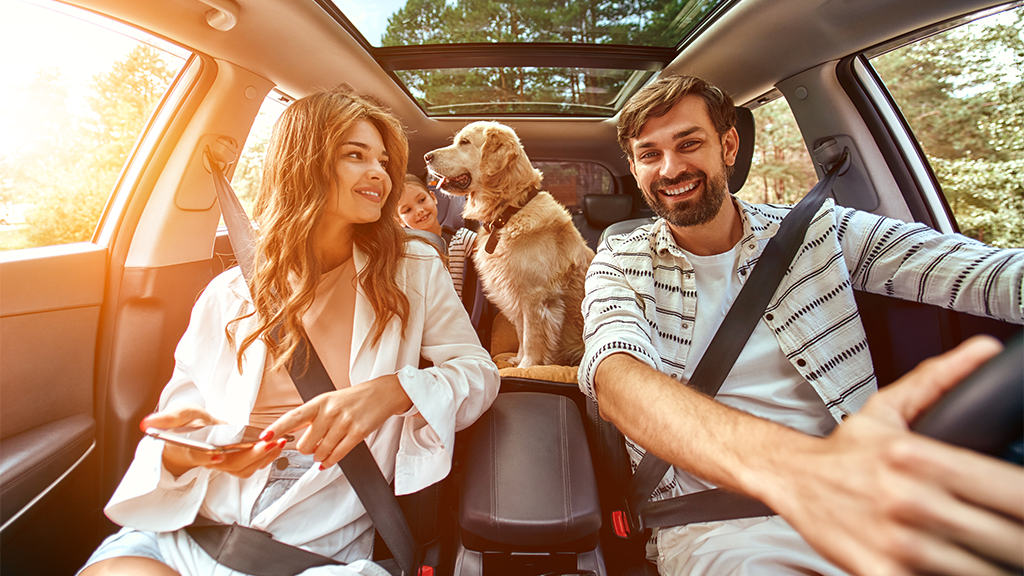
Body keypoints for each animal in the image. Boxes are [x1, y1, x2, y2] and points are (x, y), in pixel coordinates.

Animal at [423, 120, 598, 366]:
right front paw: (518, 359)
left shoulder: (534, 296)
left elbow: (532, 336)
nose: (426, 157)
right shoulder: (514, 293)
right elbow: (522, 334)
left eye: (464, 142)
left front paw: (527, 366)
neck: (508, 212)